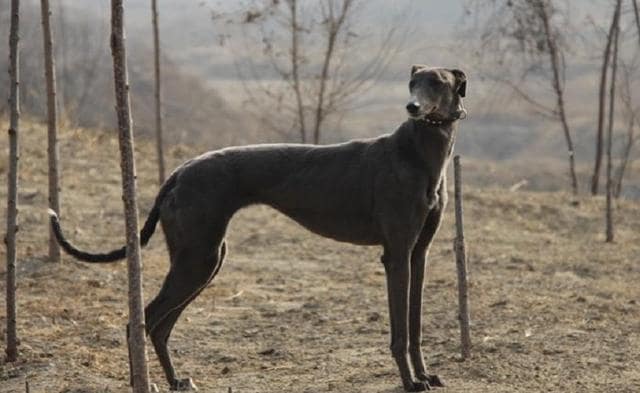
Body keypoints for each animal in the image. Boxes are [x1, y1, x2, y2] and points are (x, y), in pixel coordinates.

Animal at [50, 66, 468, 390]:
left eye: (437, 82)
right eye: (413, 83)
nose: (413, 107)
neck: (417, 152)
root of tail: (179, 172)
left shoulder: (418, 254)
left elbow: (414, 326)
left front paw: (426, 376)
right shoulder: (395, 255)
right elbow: (400, 332)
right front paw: (410, 381)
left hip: (204, 258)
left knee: (159, 326)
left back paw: (176, 380)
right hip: (199, 258)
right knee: (144, 320)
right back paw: (147, 382)